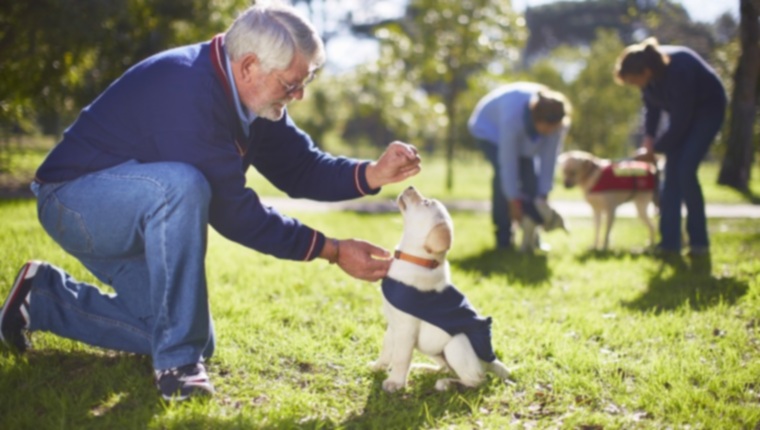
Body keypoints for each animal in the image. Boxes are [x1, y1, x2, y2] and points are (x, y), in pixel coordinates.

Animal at [372, 186, 510, 392]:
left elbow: (400, 358)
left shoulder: (406, 329)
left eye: (426, 202)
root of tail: (491, 362)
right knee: (446, 367)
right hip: (431, 348)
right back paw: (425, 368)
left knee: (477, 380)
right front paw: (378, 366)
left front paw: (395, 383)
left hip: (456, 343)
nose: (410, 186)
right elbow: (387, 348)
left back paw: (447, 383)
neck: (416, 260)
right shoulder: (393, 324)